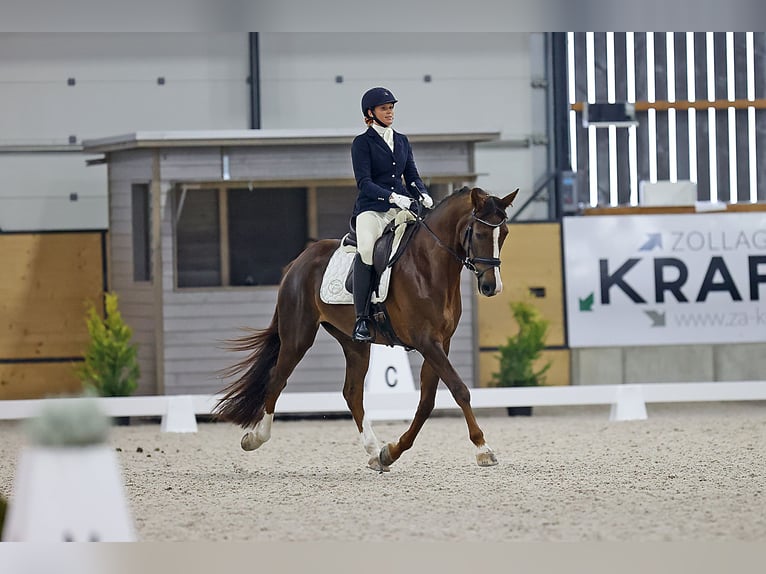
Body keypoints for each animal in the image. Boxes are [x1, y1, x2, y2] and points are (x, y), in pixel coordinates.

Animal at [213, 189, 520, 472]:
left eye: (504, 234)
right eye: (479, 233)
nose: (492, 287)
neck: (429, 266)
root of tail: (298, 262)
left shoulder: (440, 343)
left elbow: (426, 402)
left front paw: (391, 451)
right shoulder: (426, 342)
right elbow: (459, 389)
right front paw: (483, 449)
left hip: (354, 343)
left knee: (352, 392)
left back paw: (374, 452)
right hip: (298, 336)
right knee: (277, 379)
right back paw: (255, 438)